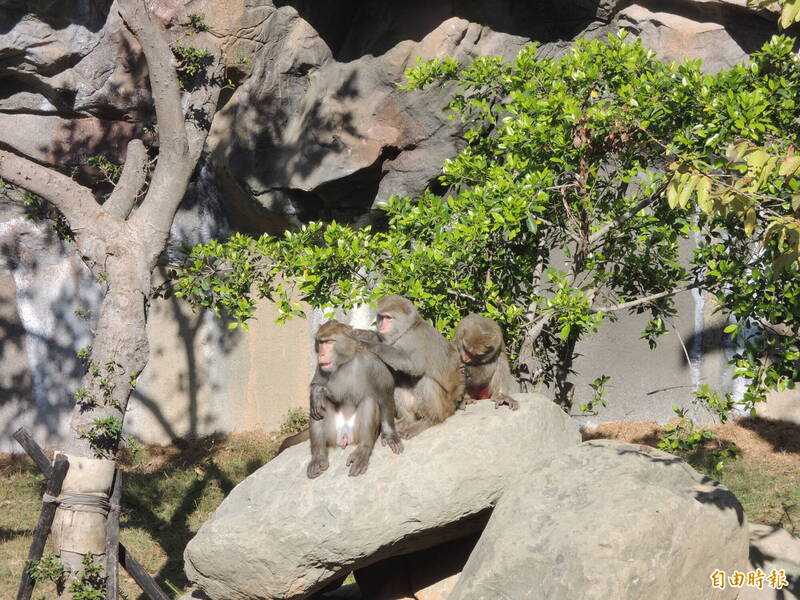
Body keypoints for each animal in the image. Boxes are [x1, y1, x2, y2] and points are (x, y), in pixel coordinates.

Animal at [304, 318, 404, 478]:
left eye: (329, 342)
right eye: (320, 342)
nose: (321, 356)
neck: (346, 362)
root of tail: (345, 436)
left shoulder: (371, 363)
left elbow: (385, 394)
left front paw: (390, 436)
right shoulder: (322, 366)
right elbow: (316, 385)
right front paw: (317, 392)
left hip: (356, 431)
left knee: (369, 401)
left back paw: (362, 451)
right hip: (333, 433)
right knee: (319, 407)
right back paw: (318, 456)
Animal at [356, 296, 462, 440]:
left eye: (388, 317)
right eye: (381, 317)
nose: (381, 326)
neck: (408, 328)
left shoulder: (413, 339)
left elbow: (413, 365)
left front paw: (371, 345)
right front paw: (365, 334)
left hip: (445, 406)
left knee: (425, 381)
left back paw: (430, 420)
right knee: (397, 382)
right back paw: (408, 419)